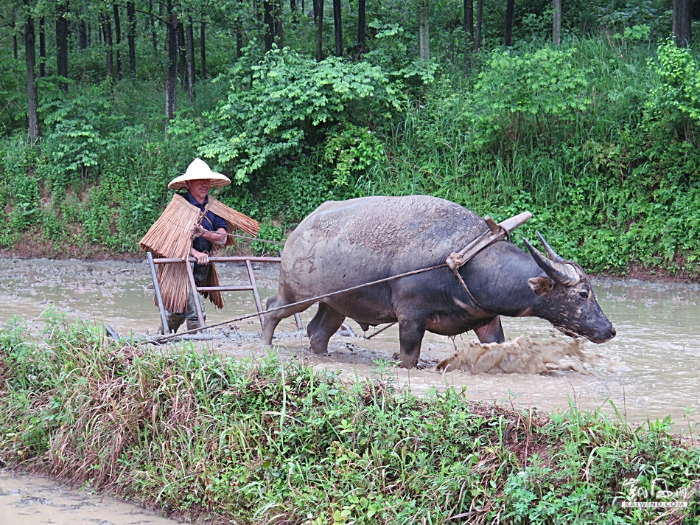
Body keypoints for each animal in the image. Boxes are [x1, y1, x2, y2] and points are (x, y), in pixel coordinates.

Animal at [262, 194, 612, 366]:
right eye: (583, 293)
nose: (609, 329)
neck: (466, 262)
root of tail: (299, 231)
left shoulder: (487, 319)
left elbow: (497, 346)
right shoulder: (411, 316)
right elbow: (409, 356)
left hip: (335, 303)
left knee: (318, 331)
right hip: (295, 292)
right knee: (272, 307)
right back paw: (265, 344)